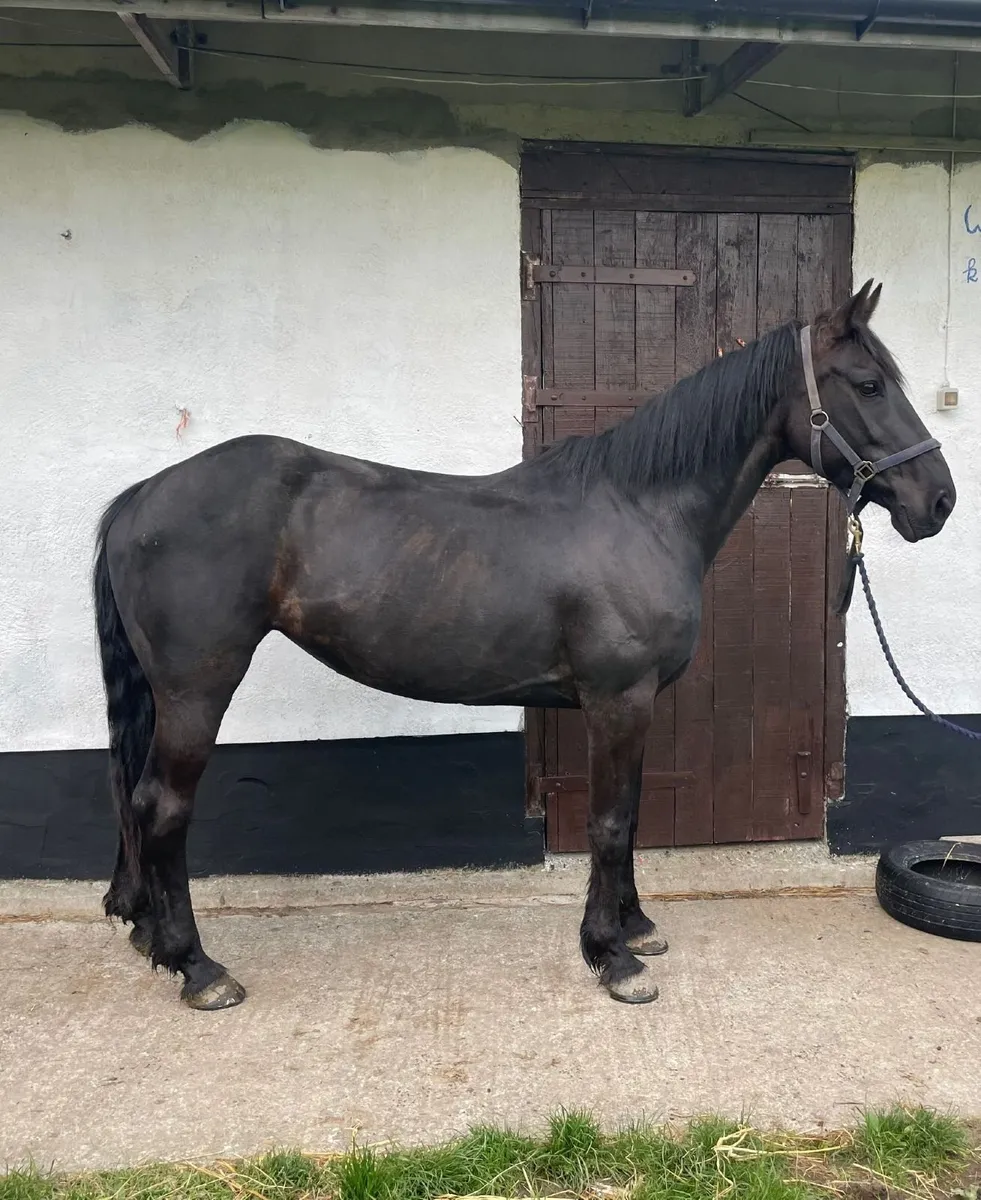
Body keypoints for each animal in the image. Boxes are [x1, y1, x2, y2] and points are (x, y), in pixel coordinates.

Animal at [93, 279, 954, 1010]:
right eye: (867, 384)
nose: (938, 500)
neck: (641, 510)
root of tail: (143, 496)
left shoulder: (633, 707)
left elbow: (631, 816)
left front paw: (636, 927)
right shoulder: (617, 701)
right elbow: (607, 821)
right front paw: (612, 957)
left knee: (137, 802)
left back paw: (150, 937)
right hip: (197, 691)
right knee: (163, 808)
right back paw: (197, 967)